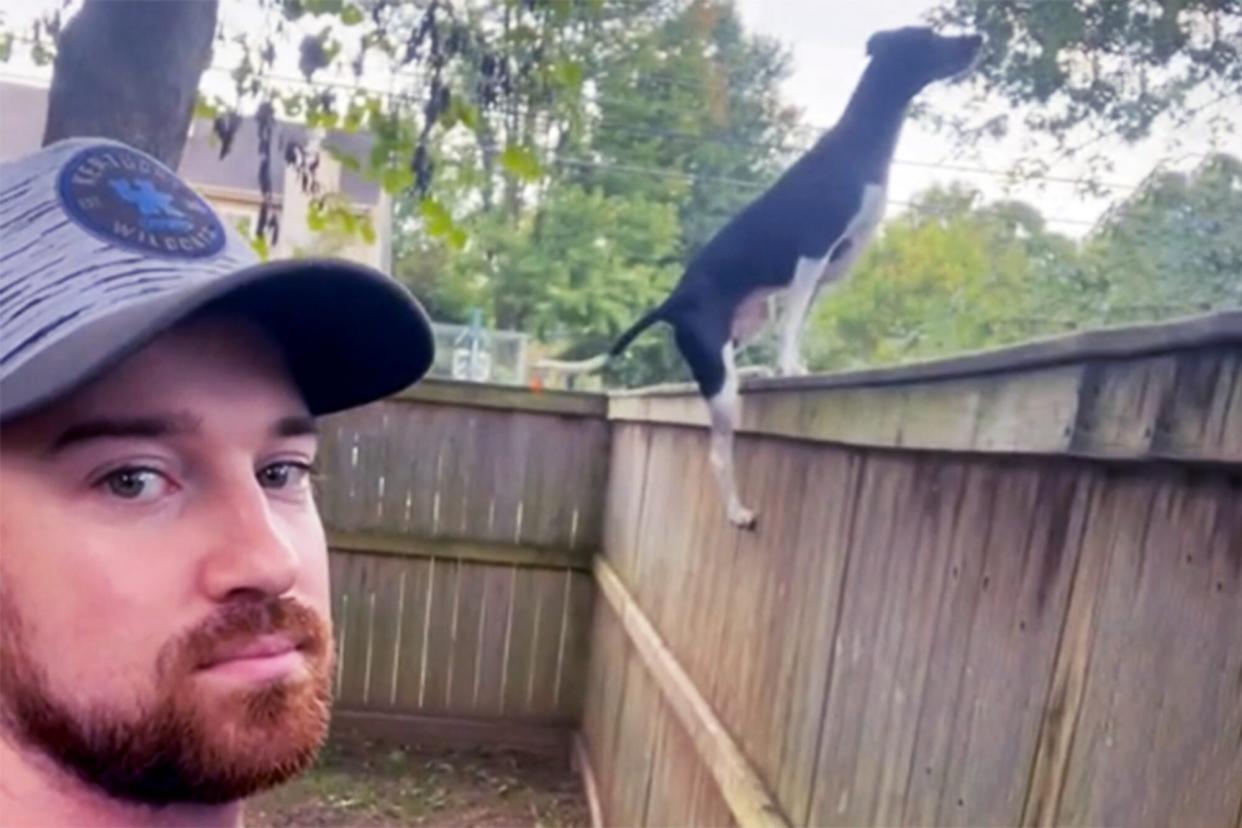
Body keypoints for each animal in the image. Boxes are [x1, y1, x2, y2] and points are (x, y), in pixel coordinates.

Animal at [541, 27, 978, 531]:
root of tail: (674, 299)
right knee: (718, 453)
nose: (975, 40)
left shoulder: (818, 278)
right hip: (720, 380)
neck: (862, 141)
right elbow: (792, 328)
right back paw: (737, 511)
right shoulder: (811, 256)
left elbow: (799, 325)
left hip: (744, 328)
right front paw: (789, 367)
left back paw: (755, 372)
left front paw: (792, 366)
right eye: (928, 38)